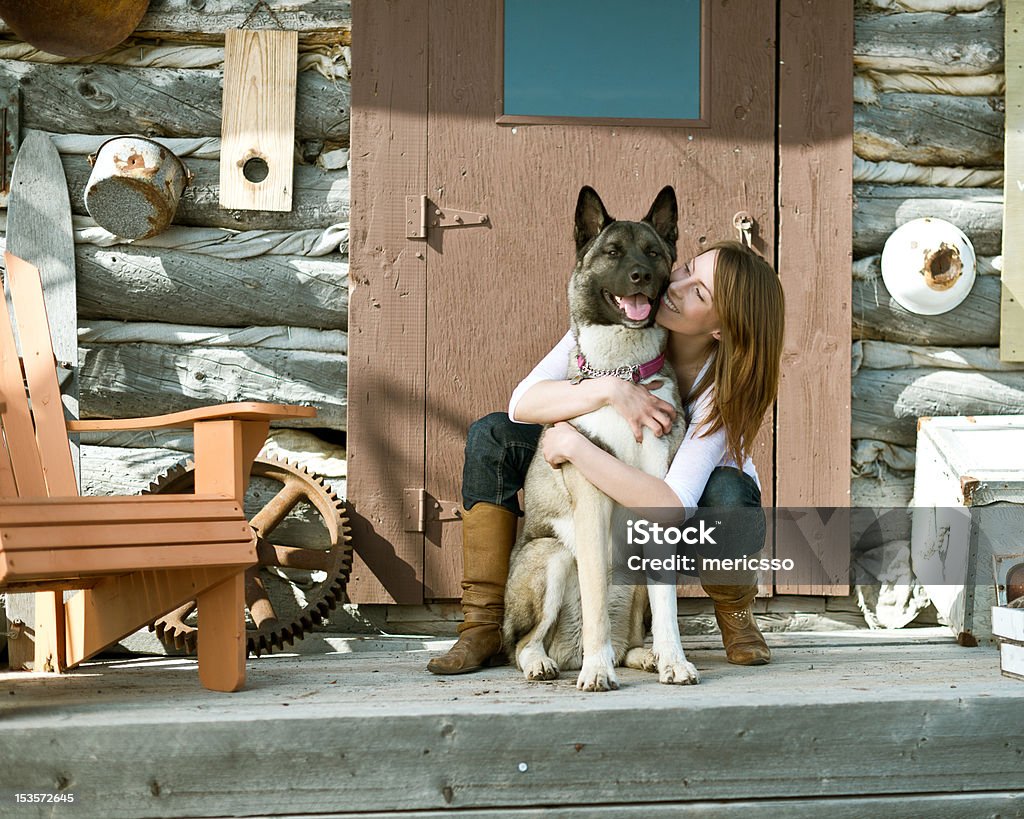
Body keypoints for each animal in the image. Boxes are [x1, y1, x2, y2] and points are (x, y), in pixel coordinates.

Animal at [499, 187, 700, 692]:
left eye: (653, 253)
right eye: (612, 252)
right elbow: (593, 603)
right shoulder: (591, 501)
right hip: (549, 556)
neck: (623, 372)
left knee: (630, 632)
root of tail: (564, 652)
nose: (641, 276)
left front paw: (674, 661)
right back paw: (550, 662)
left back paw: (643, 656)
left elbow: (667, 607)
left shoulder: (659, 501)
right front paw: (597, 670)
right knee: (521, 642)